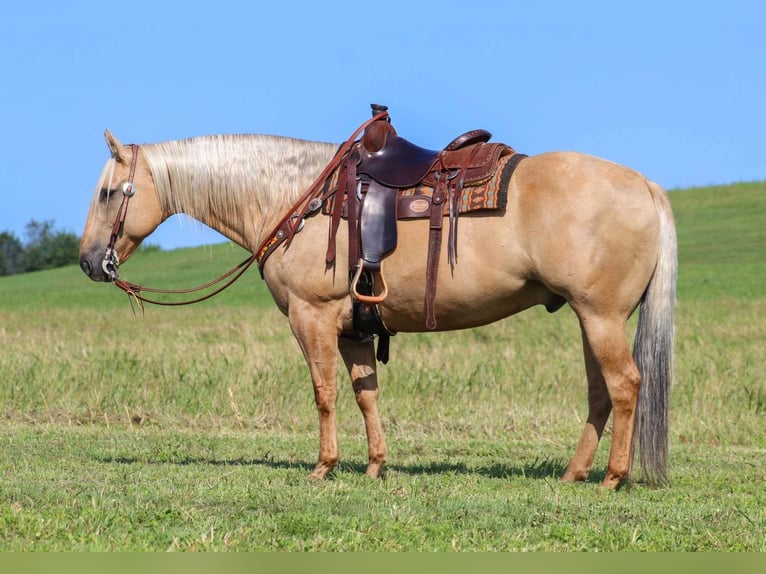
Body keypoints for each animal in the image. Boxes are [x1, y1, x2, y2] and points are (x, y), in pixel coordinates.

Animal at [79, 113, 680, 490]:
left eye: (109, 193)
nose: (89, 262)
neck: (298, 197)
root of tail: (646, 185)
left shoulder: (312, 317)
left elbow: (324, 394)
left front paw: (324, 467)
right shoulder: (354, 328)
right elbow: (365, 394)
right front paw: (374, 466)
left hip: (600, 316)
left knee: (625, 385)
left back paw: (612, 478)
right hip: (590, 317)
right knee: (601, 392)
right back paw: (575, 473)